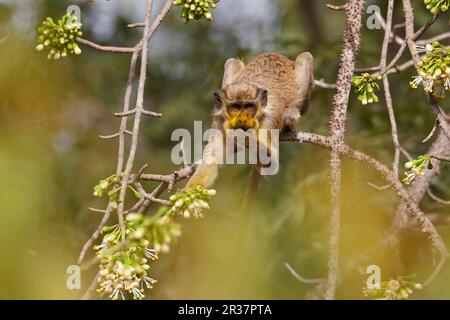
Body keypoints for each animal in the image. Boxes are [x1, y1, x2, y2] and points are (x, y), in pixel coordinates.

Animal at [185, 52, 314, 191]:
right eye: (235, 107)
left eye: (249, 107)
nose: (242, 119)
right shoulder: (219, 121)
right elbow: (212, 160)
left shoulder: (269, 118)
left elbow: (271, 165)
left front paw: (242, 136)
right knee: (232, 62)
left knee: (305, 56)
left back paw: (290, 116)